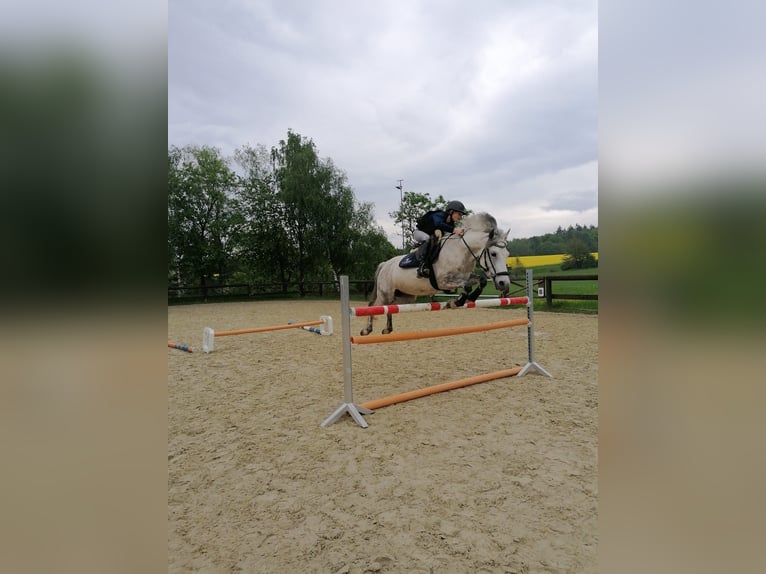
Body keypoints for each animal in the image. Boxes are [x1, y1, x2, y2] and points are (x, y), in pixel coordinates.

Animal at [360, 213, 510, 338]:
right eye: (494, 254)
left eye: (507, 254)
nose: (504, 283)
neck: (461, 251)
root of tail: (385, 264)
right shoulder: (443, 281)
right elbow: (466, 286)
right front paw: (456, 302)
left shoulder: (466, 276)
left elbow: (482, 280)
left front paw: (469, 298)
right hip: (385, 294)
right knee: (373, 305)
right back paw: (366, 330)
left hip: (405, 297)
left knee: (390, 307)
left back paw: (387, 329)